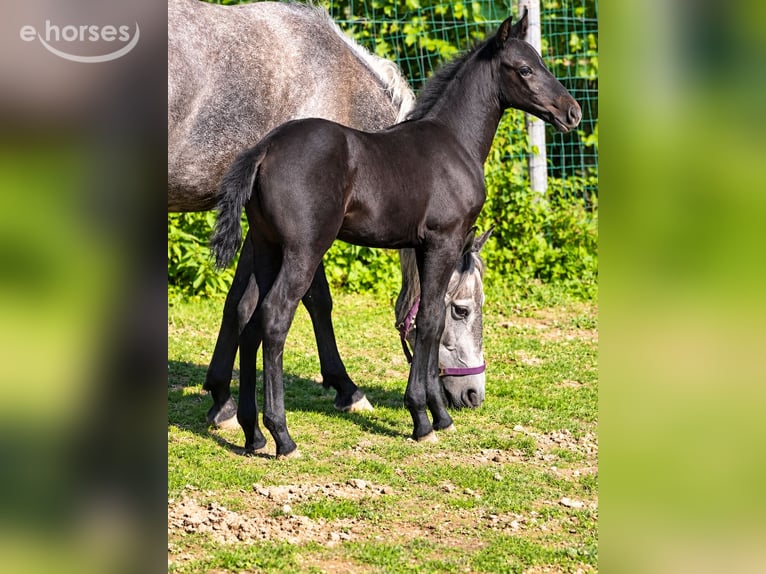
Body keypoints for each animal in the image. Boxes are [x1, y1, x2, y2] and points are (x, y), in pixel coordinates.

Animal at [168, 0, 488, 429]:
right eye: (462, 309)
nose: (473, 394)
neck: (338, 84)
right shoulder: (301, 235)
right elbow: (311, 300)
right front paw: (347, 389)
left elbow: (238, 304)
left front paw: (221, 398)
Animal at [210, 10, 581, 457]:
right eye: (524, 69)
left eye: (541, 62)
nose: (573, 112)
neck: (453, 142)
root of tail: (264, 149)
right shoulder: (444, 241)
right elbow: (431, 320)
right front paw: (424, 417)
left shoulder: (422, 246)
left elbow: (426, 321)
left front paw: (438, 413)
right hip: (304, 250)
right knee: (275, 316)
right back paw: (282, 435)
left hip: (267, 247)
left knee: (247, 315)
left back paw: (252, 433)